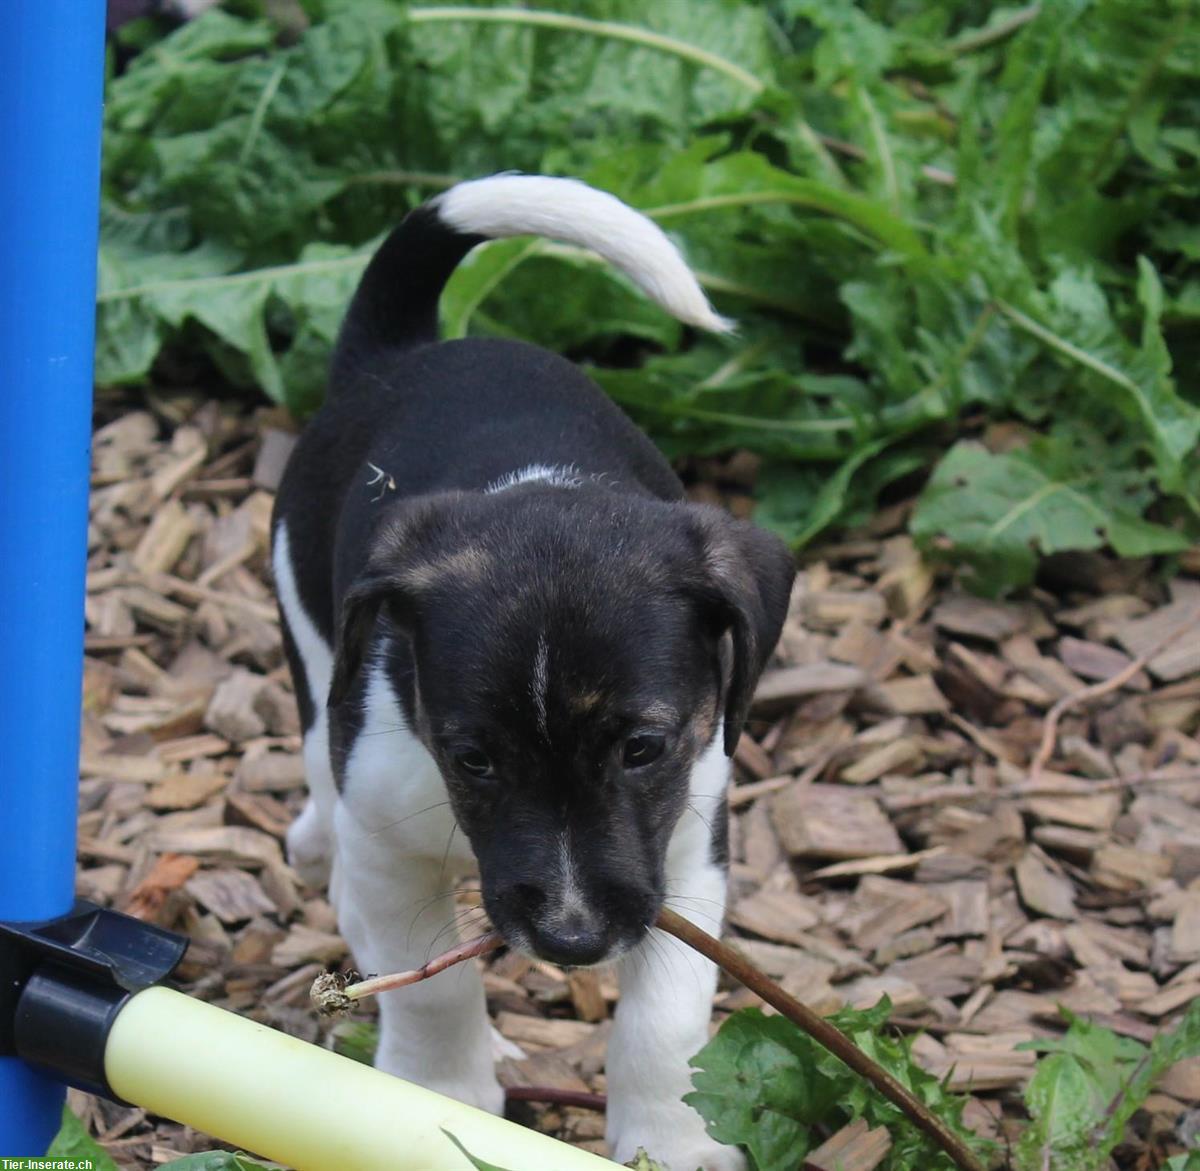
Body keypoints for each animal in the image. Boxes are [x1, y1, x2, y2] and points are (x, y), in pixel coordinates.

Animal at [273, 176, 796, 1171]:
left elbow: (666, 1016)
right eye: (471, 758)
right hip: (313, 638)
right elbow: (429, 987)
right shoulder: (392, 839)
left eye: (643, 748)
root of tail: (399, 354)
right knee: (323, 778)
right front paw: (438, 1094)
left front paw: (669, 1136)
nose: (571, 937)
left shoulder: (687, 848)